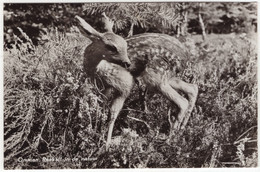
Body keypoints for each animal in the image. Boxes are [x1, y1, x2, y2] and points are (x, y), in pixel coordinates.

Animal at [74, 13, 197, 150]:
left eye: (125, 45)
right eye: (111, 47)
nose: (127, 63)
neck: (97, 68)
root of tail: (186, 56)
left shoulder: (126, 82)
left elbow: (113, 112)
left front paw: (106, 146)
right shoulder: (105, 87)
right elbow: (102, 107)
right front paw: (97, 133)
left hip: (156, 77)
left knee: (182, 102)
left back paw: (169, 141)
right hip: (168, 77)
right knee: (192, 88)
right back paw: (180, 132)